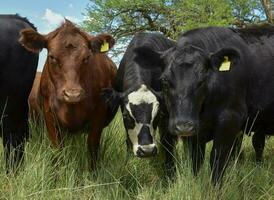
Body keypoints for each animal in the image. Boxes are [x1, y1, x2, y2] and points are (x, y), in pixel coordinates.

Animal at [18, 20, 117, 168]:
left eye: (87, 57)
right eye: (52, 57)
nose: (72, 94)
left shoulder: (99, 113)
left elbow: (93, 146)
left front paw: (93, 173)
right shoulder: (49, 115)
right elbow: (57, 148)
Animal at [101, 31, 177, 173]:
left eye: (157, 115)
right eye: (126, 116)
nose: (147, 151)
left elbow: (167, 142)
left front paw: (170, 171)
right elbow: (128, 141)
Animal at [134, 26, 274, 184]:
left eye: (202, 80)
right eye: (164, 81)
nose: (184, 126)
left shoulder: (231, 119)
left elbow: (217, 159)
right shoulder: (195, 134)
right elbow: (195, 162)